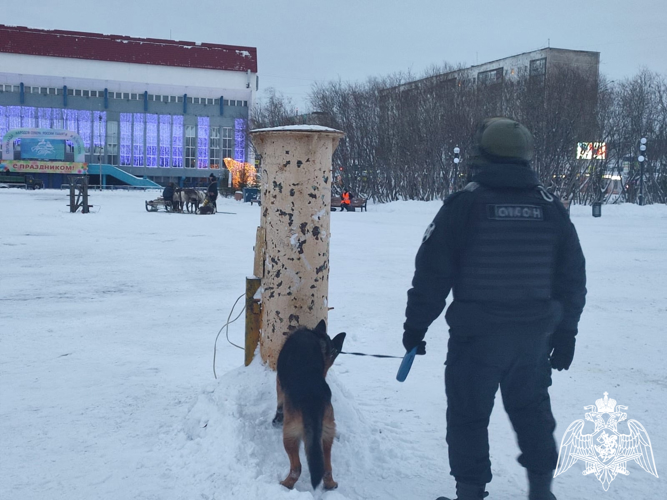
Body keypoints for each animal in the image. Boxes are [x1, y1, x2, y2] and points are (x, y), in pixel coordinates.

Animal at [272, 322, 348, 490]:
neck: (318, 337)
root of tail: (312, 400)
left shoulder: (279, 382)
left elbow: (279, 402)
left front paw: (276, 419)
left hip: (290, 434)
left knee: (297, 468)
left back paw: (286, 484)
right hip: (327, 433)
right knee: (326, 468)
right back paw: (330, 484)